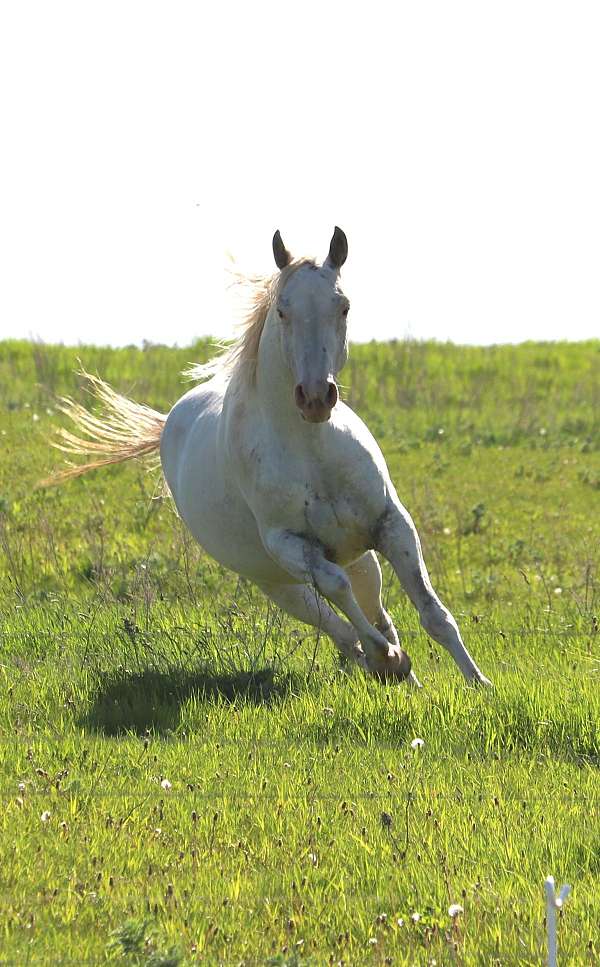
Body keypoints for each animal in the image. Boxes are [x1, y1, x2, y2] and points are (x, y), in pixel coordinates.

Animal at [45, 229, 488, 688]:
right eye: (282, 310)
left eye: (343, 306)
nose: (315, 397)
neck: (312, 449)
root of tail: (170, 420)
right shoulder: (289, 544)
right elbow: (337, 589)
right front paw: (389, 659)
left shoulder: (391, 523)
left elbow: (433, 613)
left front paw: (480, 686)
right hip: (277, 582)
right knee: (339, 627)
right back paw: (388, 664)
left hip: (361, 558)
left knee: (376, 612)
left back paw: (407, 679)